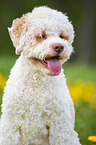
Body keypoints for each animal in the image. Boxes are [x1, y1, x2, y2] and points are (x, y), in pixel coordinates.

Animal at [0, 6, 81, 144]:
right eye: (41, 35)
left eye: (62, 36)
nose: (59, 46)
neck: (36, 82)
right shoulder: (10, 123)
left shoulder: (59, 125)